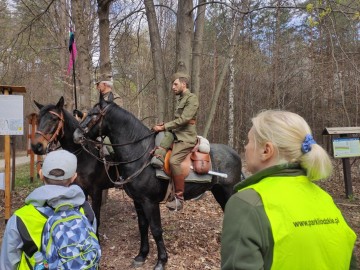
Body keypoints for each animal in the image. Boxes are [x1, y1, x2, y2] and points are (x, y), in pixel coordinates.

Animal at [30, 97, 116, 228]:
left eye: (54, 119)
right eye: (38, 119)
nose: (36, 146)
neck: (83, 155)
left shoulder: (96, 192)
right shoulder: (82, 189)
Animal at [73, 94, 242, 268]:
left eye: (93, 114)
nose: (76, 135)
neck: (141, 154)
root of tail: (235, 153)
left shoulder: (150, 202)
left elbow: (156, 229)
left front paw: (161, 260)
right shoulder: (138, 201)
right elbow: (142, 226)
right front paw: (141, 255)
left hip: (228, 191)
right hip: (218, 191)